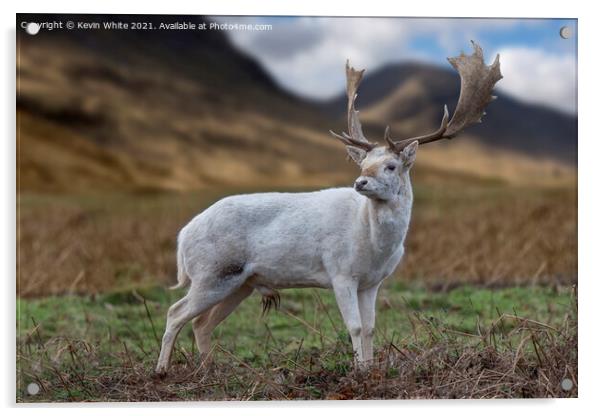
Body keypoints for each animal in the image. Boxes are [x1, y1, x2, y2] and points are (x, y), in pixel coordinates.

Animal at [154, 40, 496, 376]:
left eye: (391, 165)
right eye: (364, 162)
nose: (360, 182)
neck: (374, 244)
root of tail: (183, 235)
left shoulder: (372, 282)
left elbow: (370, 328)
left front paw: (370, 368)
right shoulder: (339, 271)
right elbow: (355, 327)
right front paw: (359, 372)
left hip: (240, 283)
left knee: (201, 323)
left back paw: (208, 370)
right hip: (212, 272)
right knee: (175, 312)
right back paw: (162, 369)